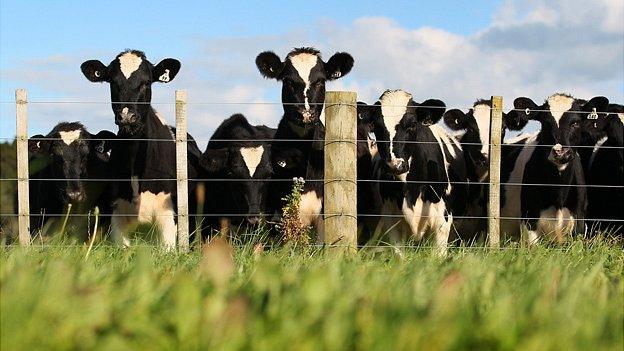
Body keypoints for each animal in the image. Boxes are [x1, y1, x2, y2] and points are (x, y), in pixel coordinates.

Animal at [502, 92, 608, 243]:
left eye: (575, 122)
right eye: (545, 122)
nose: (560, 152)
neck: (559, 194)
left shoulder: (578, 225)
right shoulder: (529, 224)